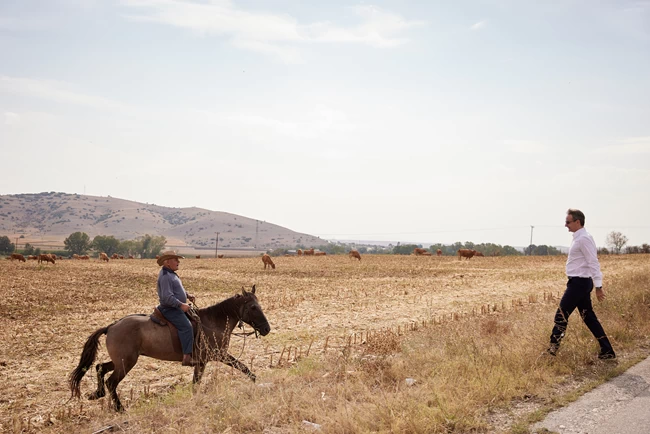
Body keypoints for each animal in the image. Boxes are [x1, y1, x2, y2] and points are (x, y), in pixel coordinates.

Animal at [67, 284, 268, 410]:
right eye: (253, 307)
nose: (267, 328)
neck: (212, 322)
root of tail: (112, 326)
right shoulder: (215, 356)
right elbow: (241, 368)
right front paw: (255, 383)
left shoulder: (205, 361)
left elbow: (199, 382)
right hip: (126, 363)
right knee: (111, 382)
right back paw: (119, 409)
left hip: (120, 361)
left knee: (100, 367)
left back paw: (97, 393)